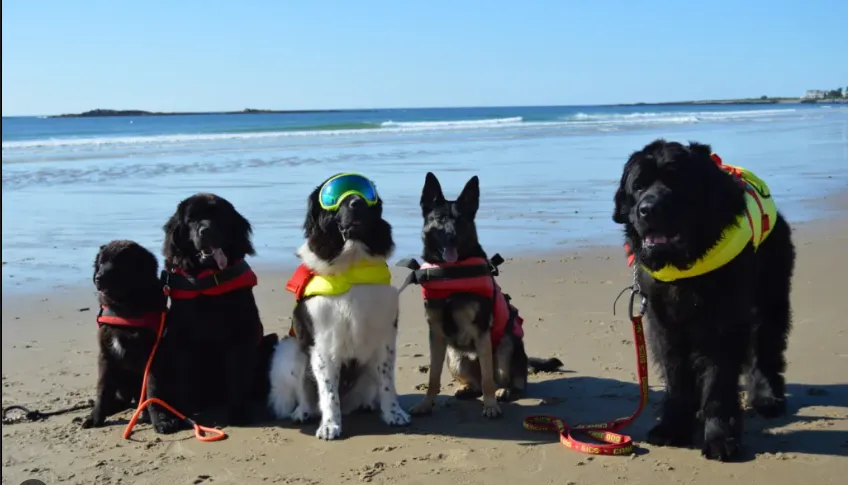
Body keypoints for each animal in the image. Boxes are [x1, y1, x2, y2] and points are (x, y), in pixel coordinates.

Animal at [83, 239, 167, 428]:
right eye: (101, 263)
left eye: (119, 264)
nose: (98, 278)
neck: (125, 311)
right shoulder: (106, 355)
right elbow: (103, 390)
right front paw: (95, 417)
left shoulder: (153, 355)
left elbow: (152, 389)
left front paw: (160, 419)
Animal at [146, 191, 272, 432]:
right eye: (191, 220)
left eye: (218, 217)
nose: (205, 231)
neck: (209, 278)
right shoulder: (182, 340)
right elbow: (184, 380)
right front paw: (186, 413)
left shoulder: (242, 334)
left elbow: (238, 377)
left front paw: (239, 413)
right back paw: (166, 419)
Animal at [266, 173, 410, 438]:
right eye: (333, 196)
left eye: (367, 193)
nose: (357, 202)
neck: (352, 265)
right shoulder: (323, 344)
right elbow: (328, 392)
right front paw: (330, 425)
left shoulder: (385, 337)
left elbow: (387, 383)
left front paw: (394, 414)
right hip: (290, 351)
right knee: (305, 392)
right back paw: (303, 411)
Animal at [612, 138, 800, 460]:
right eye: (638, 185)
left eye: (677, 182)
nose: (648, 209)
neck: (687, 264)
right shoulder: (664, 324)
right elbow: (676, 377)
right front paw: (672, 426)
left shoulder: (724, 323)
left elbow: (719, 381)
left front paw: (720, 436)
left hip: (771, 292)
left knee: (766, 345)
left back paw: (766, 397)